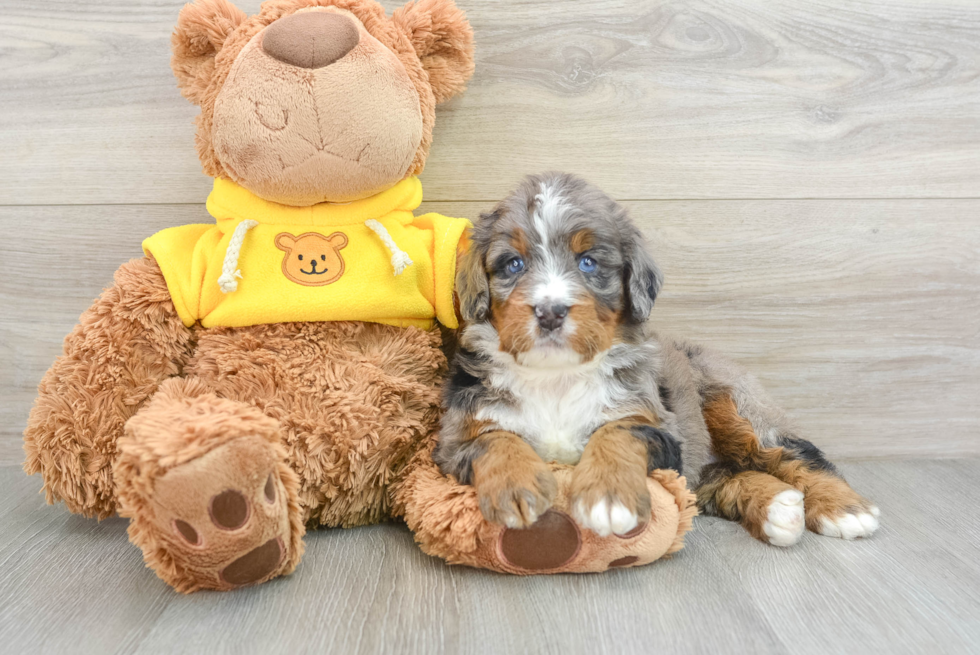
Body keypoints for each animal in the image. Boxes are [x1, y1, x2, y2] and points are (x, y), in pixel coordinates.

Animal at [436, 174, 880, 548]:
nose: (549, 312)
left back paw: (845, 510)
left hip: (734, 402)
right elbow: (496, 439)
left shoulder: (658, 424)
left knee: (796, 453)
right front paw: (519, 489)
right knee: (725, 479)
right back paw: (778, 508)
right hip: (699, 469)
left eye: (588, 262)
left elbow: (617, 432)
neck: (557, 377)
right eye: (513, 264)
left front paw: (609, 497)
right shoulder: (455, 438)